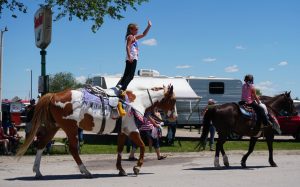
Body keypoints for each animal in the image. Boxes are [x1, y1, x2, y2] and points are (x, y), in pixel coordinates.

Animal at [16, 85, 177, 178]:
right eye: (174, 100)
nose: (174, 117)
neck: (136, 102)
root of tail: (54, 95)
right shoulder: (132, 130)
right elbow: (142, 146)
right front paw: (137, 167)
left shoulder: (123, 131)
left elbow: (119, 149)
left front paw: (121, 169)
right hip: (71, 128)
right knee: (73, 149)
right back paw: (86, 171)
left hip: (54, 127)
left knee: (41, 144)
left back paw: (37, 171)